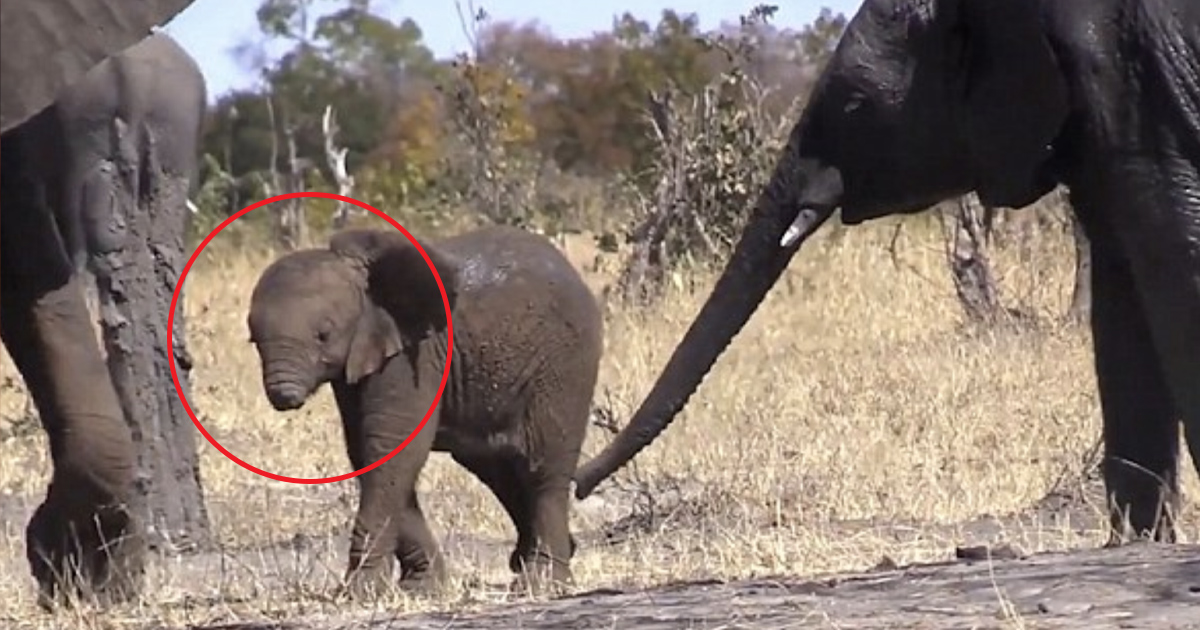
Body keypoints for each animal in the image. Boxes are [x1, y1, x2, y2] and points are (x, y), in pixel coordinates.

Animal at [247, 225, 605, 596]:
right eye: (253, 339)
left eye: (323, 335)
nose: (285, 396)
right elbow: (365, 452)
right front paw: (421, 588)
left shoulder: (414, 355)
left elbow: (391, 446)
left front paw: (359, 592)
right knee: (498, 467)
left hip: (565, 360)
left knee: (543, 465)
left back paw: (541, 582)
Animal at [573, 0, 1200, 547]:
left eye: (854, 106)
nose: (576, 485)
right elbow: (1122, 296)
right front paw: (1136, 546)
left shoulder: (1135, 85)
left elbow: (1173, 254)